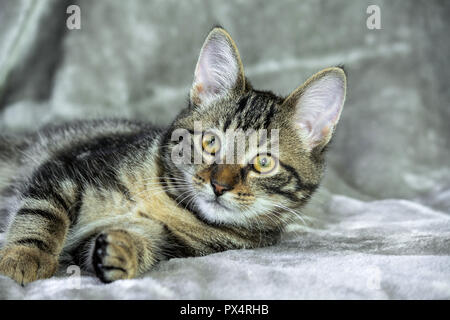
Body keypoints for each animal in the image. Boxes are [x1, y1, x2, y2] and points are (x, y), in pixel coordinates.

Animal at [0, 26, 348, 284]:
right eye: (210, 143)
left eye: (263, 162)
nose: (219, 186)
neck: (172, 204)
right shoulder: (66, 168)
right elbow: (41, 214)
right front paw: (25, 257)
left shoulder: (173, 244)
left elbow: (136, 246)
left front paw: (125, 249)